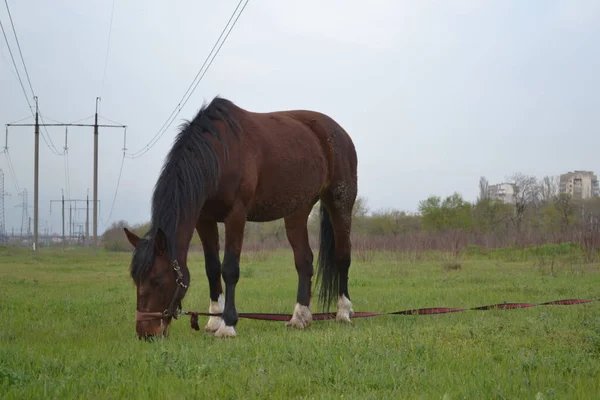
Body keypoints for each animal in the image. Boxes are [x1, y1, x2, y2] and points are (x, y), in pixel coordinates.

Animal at [122, 97, 356, 338]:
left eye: (157, 280)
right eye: (136, 280)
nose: (146, 333)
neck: (218, 154)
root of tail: (338, 131)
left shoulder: (236, 215)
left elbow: (230, 269)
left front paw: (227, 324)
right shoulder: (204, 220)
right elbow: (212, 268)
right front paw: (214, 320)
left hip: (340, 202)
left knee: (342, 256)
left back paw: (343, 312)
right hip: (297, 210)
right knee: (304, 261)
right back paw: (300, 317)